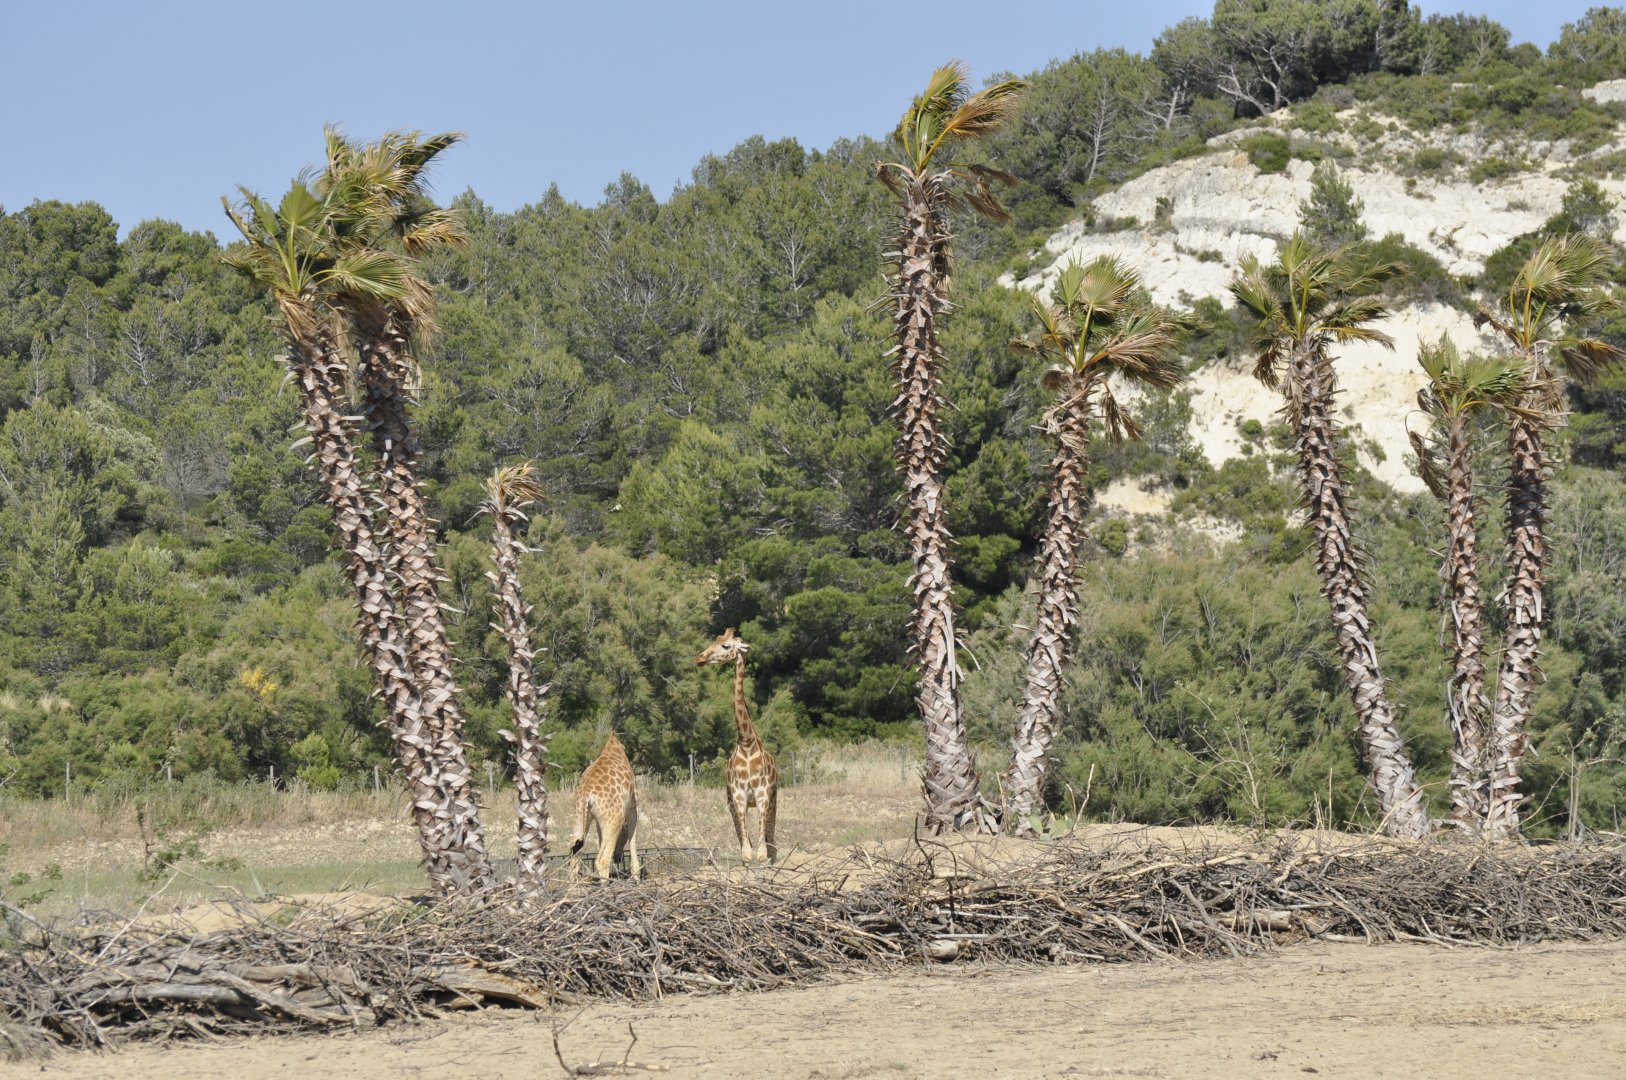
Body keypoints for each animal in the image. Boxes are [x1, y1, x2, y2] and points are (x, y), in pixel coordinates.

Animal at [567, 731, 642, 881]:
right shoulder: (632, 810)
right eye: (623, 837)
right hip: (615, 819)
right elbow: (633, 837)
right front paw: (637, 877)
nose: (618, 858)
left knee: (574, 857)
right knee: (601, 860)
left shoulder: (599, 821)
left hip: (579, 817)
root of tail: (586, 796)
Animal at [695, 628, 778, 864]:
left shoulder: (762, 794)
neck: (747, 741)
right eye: (715, 640)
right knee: (745, 838)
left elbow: (761, 853)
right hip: (731, 802)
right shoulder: (738, 795)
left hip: (773, 801)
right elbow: (747, 853)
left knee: (771, 841)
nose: (700, 658)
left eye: (726, 646)